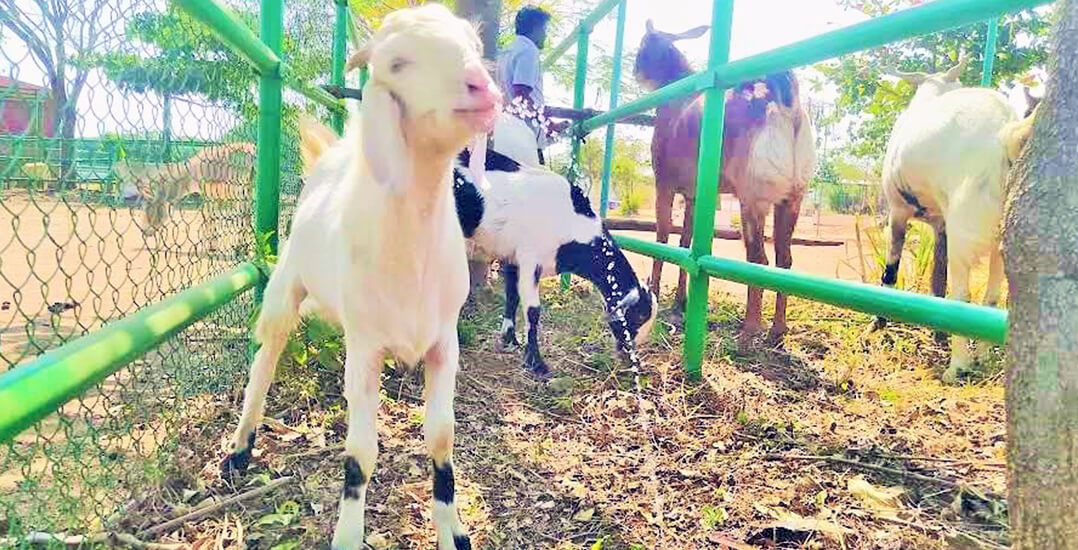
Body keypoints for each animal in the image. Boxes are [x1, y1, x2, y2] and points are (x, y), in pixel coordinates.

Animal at [448, 141, 651, 377]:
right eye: (638, 317)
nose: (630, 358)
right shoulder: (530, 259)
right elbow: (533, 311)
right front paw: (536, 364)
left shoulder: (513, 258)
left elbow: (512, 298)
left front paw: (510, 340)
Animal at [629, 22, 814, 347]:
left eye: (643, 44)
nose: (636, 70)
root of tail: (785, 100)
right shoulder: (694, 196)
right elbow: (686, 242)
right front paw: (680, 301)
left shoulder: (663, 184)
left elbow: (662, 238)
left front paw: (655, 292)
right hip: (792, 199)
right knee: (784, 259)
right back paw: (777, 330)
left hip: (752, 198)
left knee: (758, 258)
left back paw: (749, 331)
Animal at [879, 54, 1039, 381]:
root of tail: (1004, 134)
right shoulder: (941, 226)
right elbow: (937, 280)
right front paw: (938, 334)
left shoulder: (897, 212)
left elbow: (890, 272)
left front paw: (878, 325)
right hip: (999, 237)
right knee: (990, 297)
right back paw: (981, 358)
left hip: (965, 230)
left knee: (962, 297)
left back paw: (958, 366)